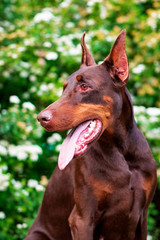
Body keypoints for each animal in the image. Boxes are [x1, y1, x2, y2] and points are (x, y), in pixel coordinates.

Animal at [25, 30, 156, 240]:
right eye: (64, 88)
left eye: (84, 86)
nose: (41, 118)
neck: (122, 152)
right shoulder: (82, 218)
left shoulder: (142, 218)